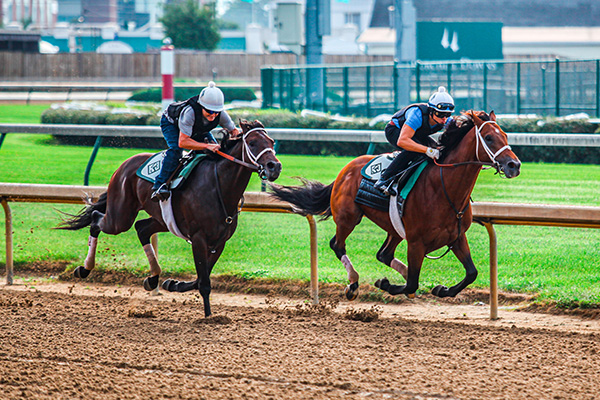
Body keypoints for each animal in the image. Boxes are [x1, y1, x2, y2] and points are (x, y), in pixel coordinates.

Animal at [58, 120, 282, 318]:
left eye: (271, 141)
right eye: (252, 142)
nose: (274, 167)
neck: (218, 186)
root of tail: (124, 165)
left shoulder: (219, 241)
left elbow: (202, 276)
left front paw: (173, 283)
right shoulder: (199, 238)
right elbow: (204, 282)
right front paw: (209, 317)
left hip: (162, 219)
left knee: (141, 228)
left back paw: (153, 278)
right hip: (120, 216)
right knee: (97, 219)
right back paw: (84, 269)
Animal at [272, 111, 520, 302]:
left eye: (505, 135)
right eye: (488, 137)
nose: (514, 165)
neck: (444, 189)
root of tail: (345, 170)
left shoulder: (456, 237)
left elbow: (471, 273)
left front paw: (442, 290)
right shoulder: (416, 242)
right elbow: (412, 284)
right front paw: (385, 284)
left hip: (394, 228)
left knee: (384, 254)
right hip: (348, 217)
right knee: (337, 245)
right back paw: (353, 283)